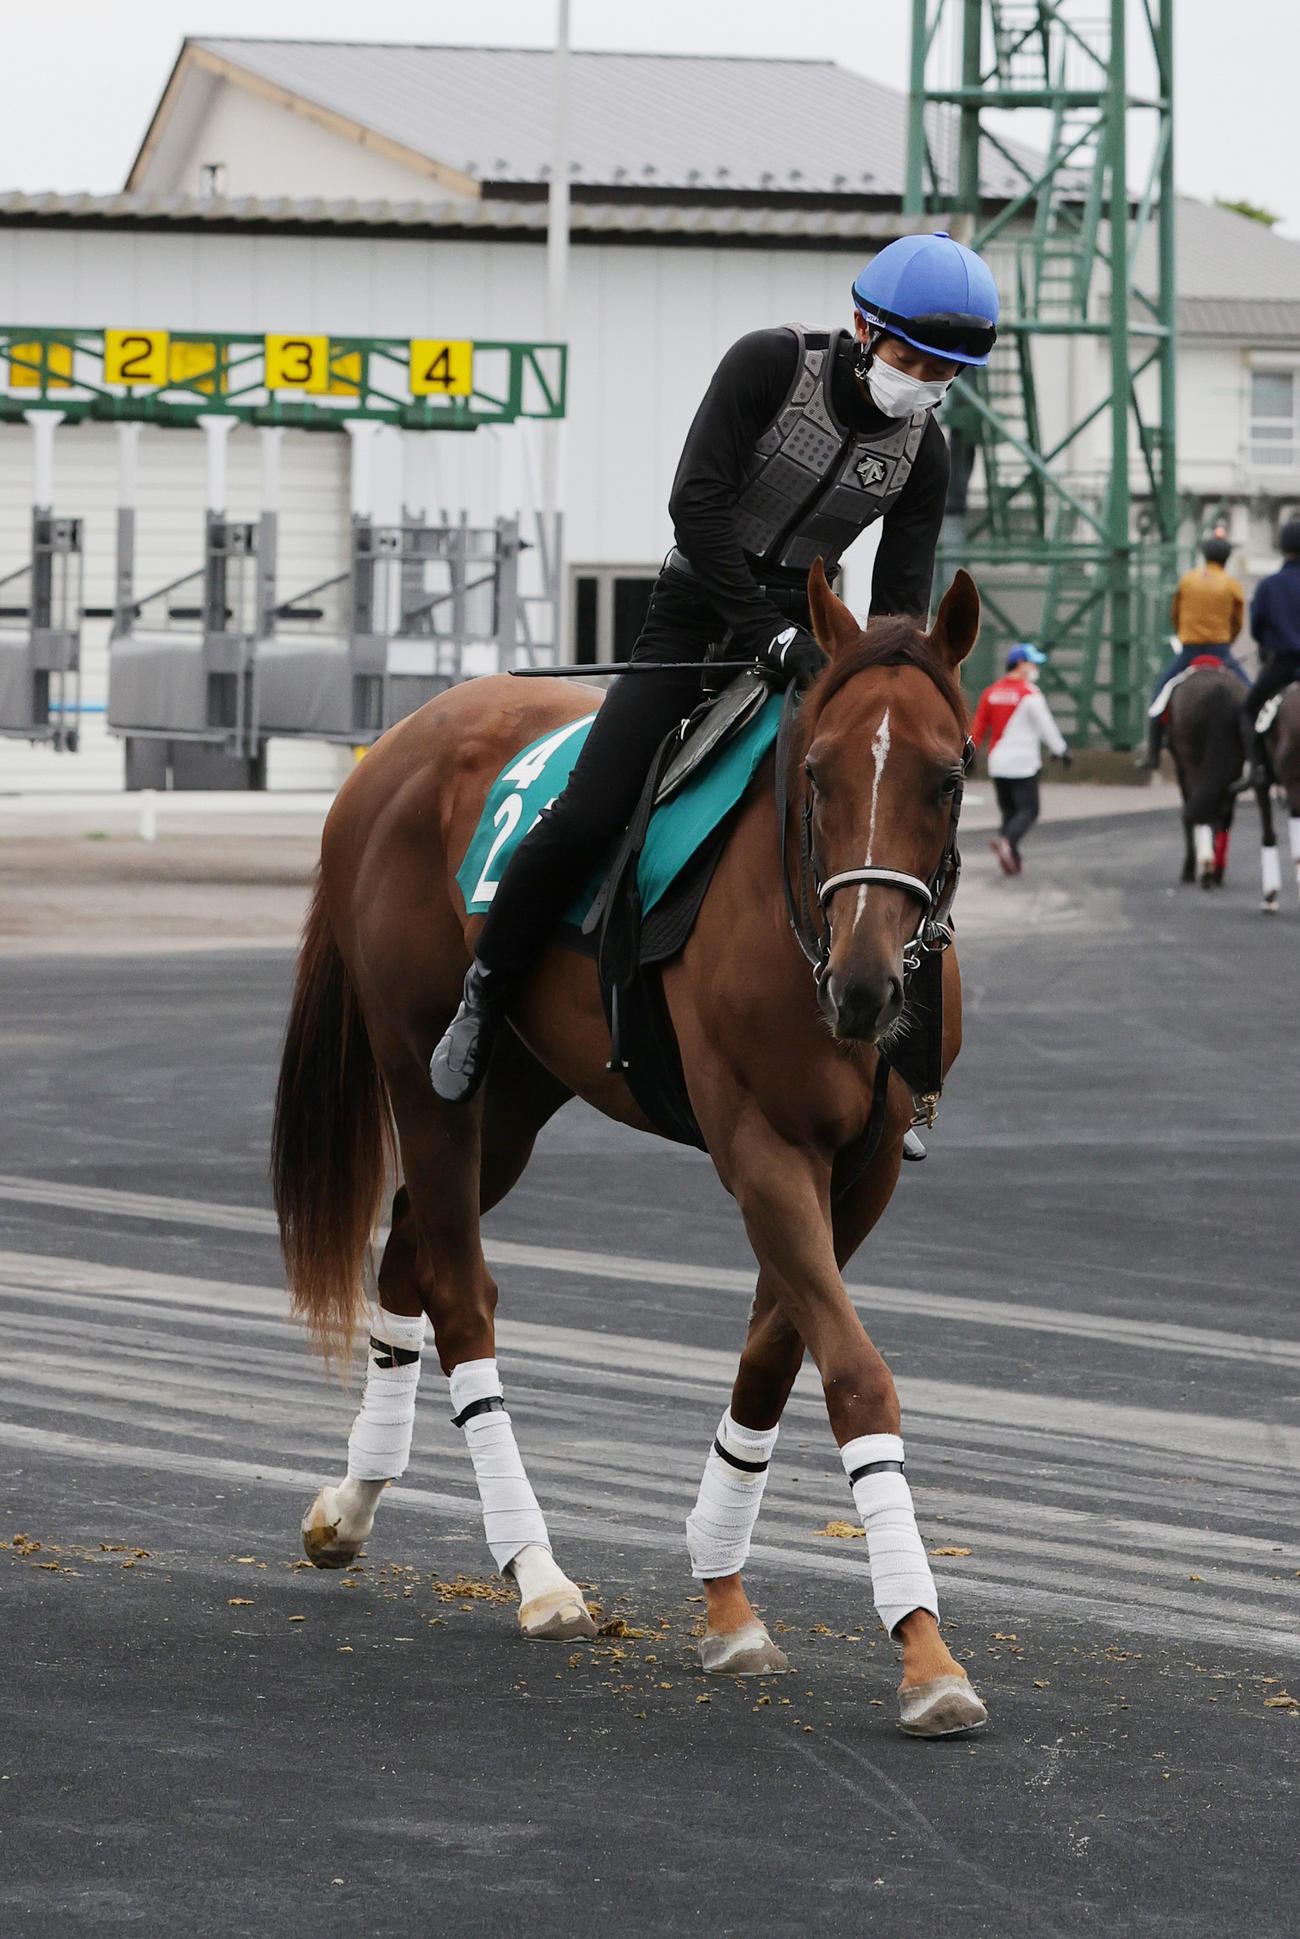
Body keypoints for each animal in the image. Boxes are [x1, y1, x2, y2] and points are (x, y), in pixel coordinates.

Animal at [271, 560, 990, 1739]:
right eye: (820, 773)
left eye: (946, 775)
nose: (866, 987)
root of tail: (400, 744)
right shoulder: (761, 1149)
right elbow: (854, 1376)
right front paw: (923, 1650)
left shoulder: (862, 1171)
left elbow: (771, 1361)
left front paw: (726, 1599)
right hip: (427, 1076)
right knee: (460, 1292)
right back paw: (535, 1569)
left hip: (511, 1102)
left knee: (410, 1253)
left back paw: (354, 1501)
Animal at [1164, 662, 1256, 888]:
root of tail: (1218, 689)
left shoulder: (1183, 768)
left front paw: (1192, 869)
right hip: (1233, 766)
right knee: (1223, 813)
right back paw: (1215, 870)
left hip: (1192, 763)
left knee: (1199, 808)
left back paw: (1203, 867)